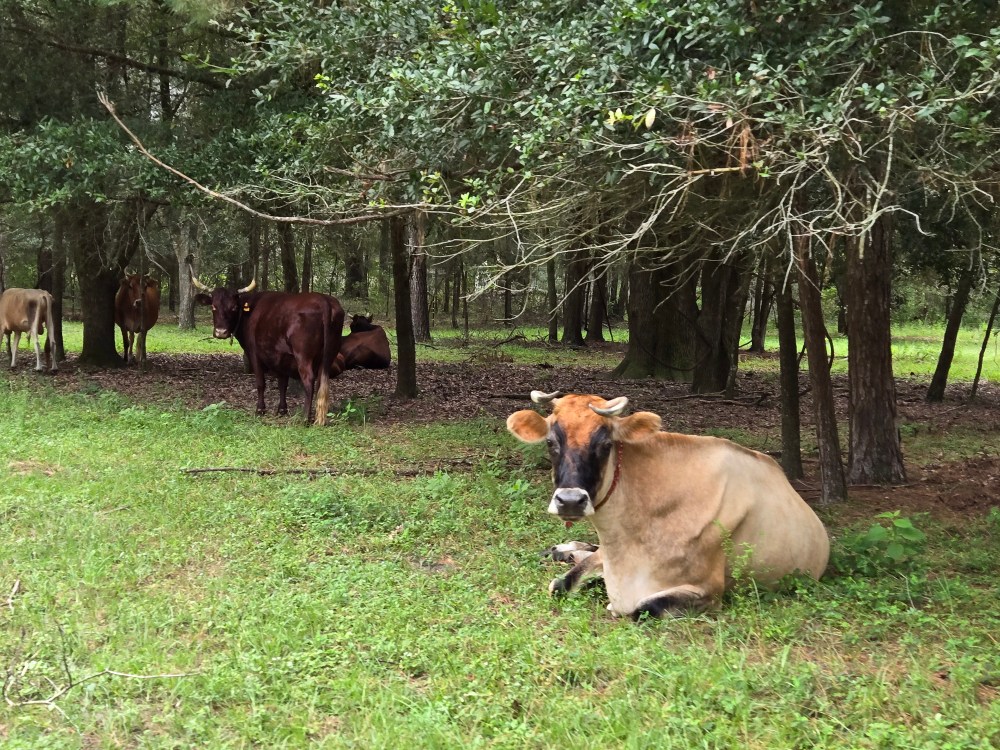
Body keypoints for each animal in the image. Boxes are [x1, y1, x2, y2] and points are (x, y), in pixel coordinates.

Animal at [191, 274, 343, 426]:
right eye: (213, 306)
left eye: (234, 307)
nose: (221, 332)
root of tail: (323, 300)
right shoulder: (282, 357)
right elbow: (282, 383)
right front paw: (282, 410)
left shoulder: (254, 353)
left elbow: (260, 383)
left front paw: (260, 409)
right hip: (329, 353)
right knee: (321, 380)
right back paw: (318, 418)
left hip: (303, 356)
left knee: (309, 380)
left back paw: (305, 418)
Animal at [507, 392, 829, 620]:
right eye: (551, 442)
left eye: (606, 444)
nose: (571, 501)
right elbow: (559, 585)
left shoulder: (709, 591)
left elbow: (643, 608)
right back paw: (562, 550)